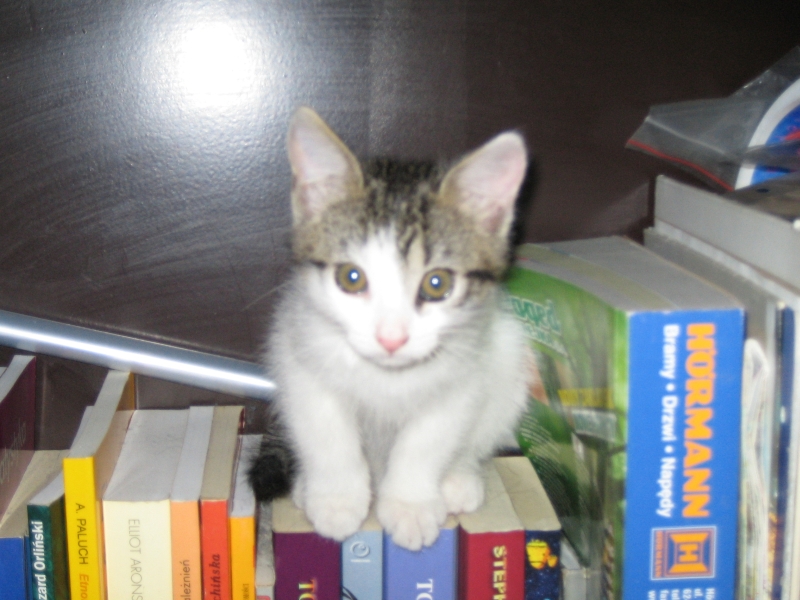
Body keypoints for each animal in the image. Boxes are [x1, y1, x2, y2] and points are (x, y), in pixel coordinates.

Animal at [249, 107, 531, 551]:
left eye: (438, 283)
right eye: (351, 277)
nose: (391, 338)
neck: (386, 376)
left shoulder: (462, 376)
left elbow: (427, 441)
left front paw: (410, 505)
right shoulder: (299, 357)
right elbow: (326, 434)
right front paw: (337, 499)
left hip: (508, 355)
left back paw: (459, 478)